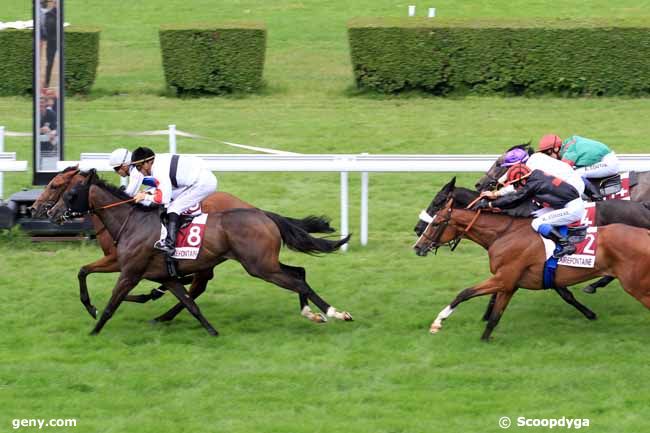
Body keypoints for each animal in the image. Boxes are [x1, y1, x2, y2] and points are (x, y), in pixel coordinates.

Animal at [62, 170, 354, 336]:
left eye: (70, 193)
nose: (58, 215)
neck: (132, 222)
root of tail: (263, 213)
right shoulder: (165, 275)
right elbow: (190, 303)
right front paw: (212, 331)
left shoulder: (130, 272)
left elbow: (112, 304)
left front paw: (93, 329)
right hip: (264, 263)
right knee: (299, 273)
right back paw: (315, 313)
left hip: (260, 267)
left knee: (297, 281)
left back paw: (333, 313)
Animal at [412, 177, 648, 340]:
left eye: (437, 206)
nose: (417, 242)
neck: (504, 232)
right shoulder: (511, 281)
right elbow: (496, 311)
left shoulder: (506, 277)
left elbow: (465, 293)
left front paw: (439, 321)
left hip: (634, 282)